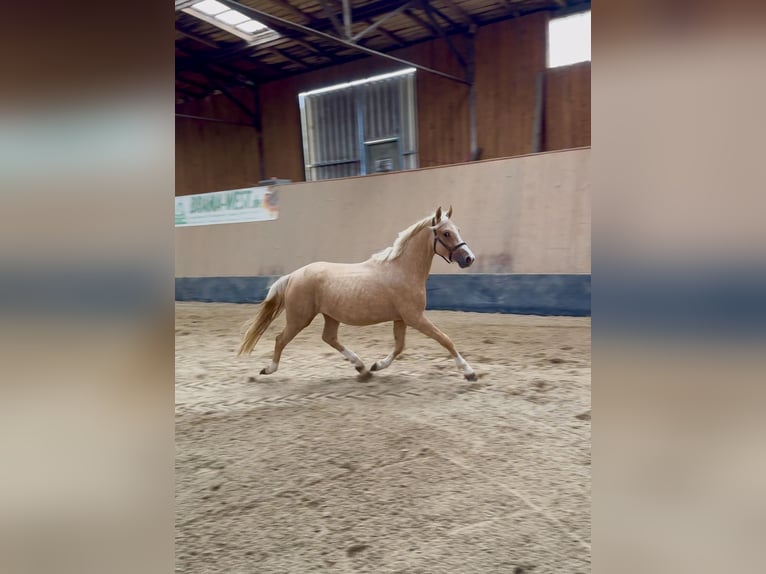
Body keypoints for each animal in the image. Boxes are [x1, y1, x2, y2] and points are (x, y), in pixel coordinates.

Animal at [240, 207, 480, 382]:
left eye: (458, 229)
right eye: (446, 233)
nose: (469, 258)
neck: (402, 269)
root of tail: (293, 275)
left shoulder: (401, 319)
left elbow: (399, 346)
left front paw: (377, 366)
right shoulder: (415, 317)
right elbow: (445, 339)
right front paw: (469, 372)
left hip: (330, 316)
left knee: (329, 338)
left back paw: (362, 367)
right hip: (300, 318)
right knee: (281, 339)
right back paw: (268, 369)